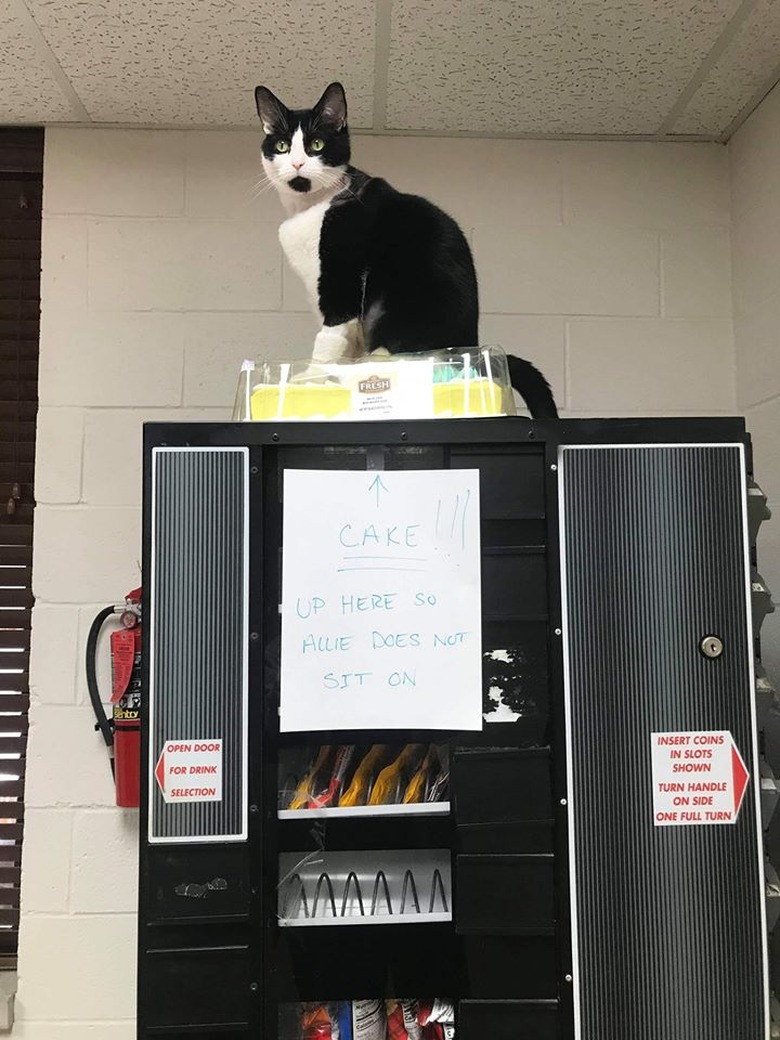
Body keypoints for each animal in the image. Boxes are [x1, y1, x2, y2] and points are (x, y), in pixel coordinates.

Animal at [257, 82, 561, 418]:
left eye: (317, 144)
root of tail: (473, 343)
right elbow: (346, 342)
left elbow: (329, 336)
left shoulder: (341, 279)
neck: (310, 207)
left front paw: (311, 378)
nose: (297, 163)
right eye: (282, 146)